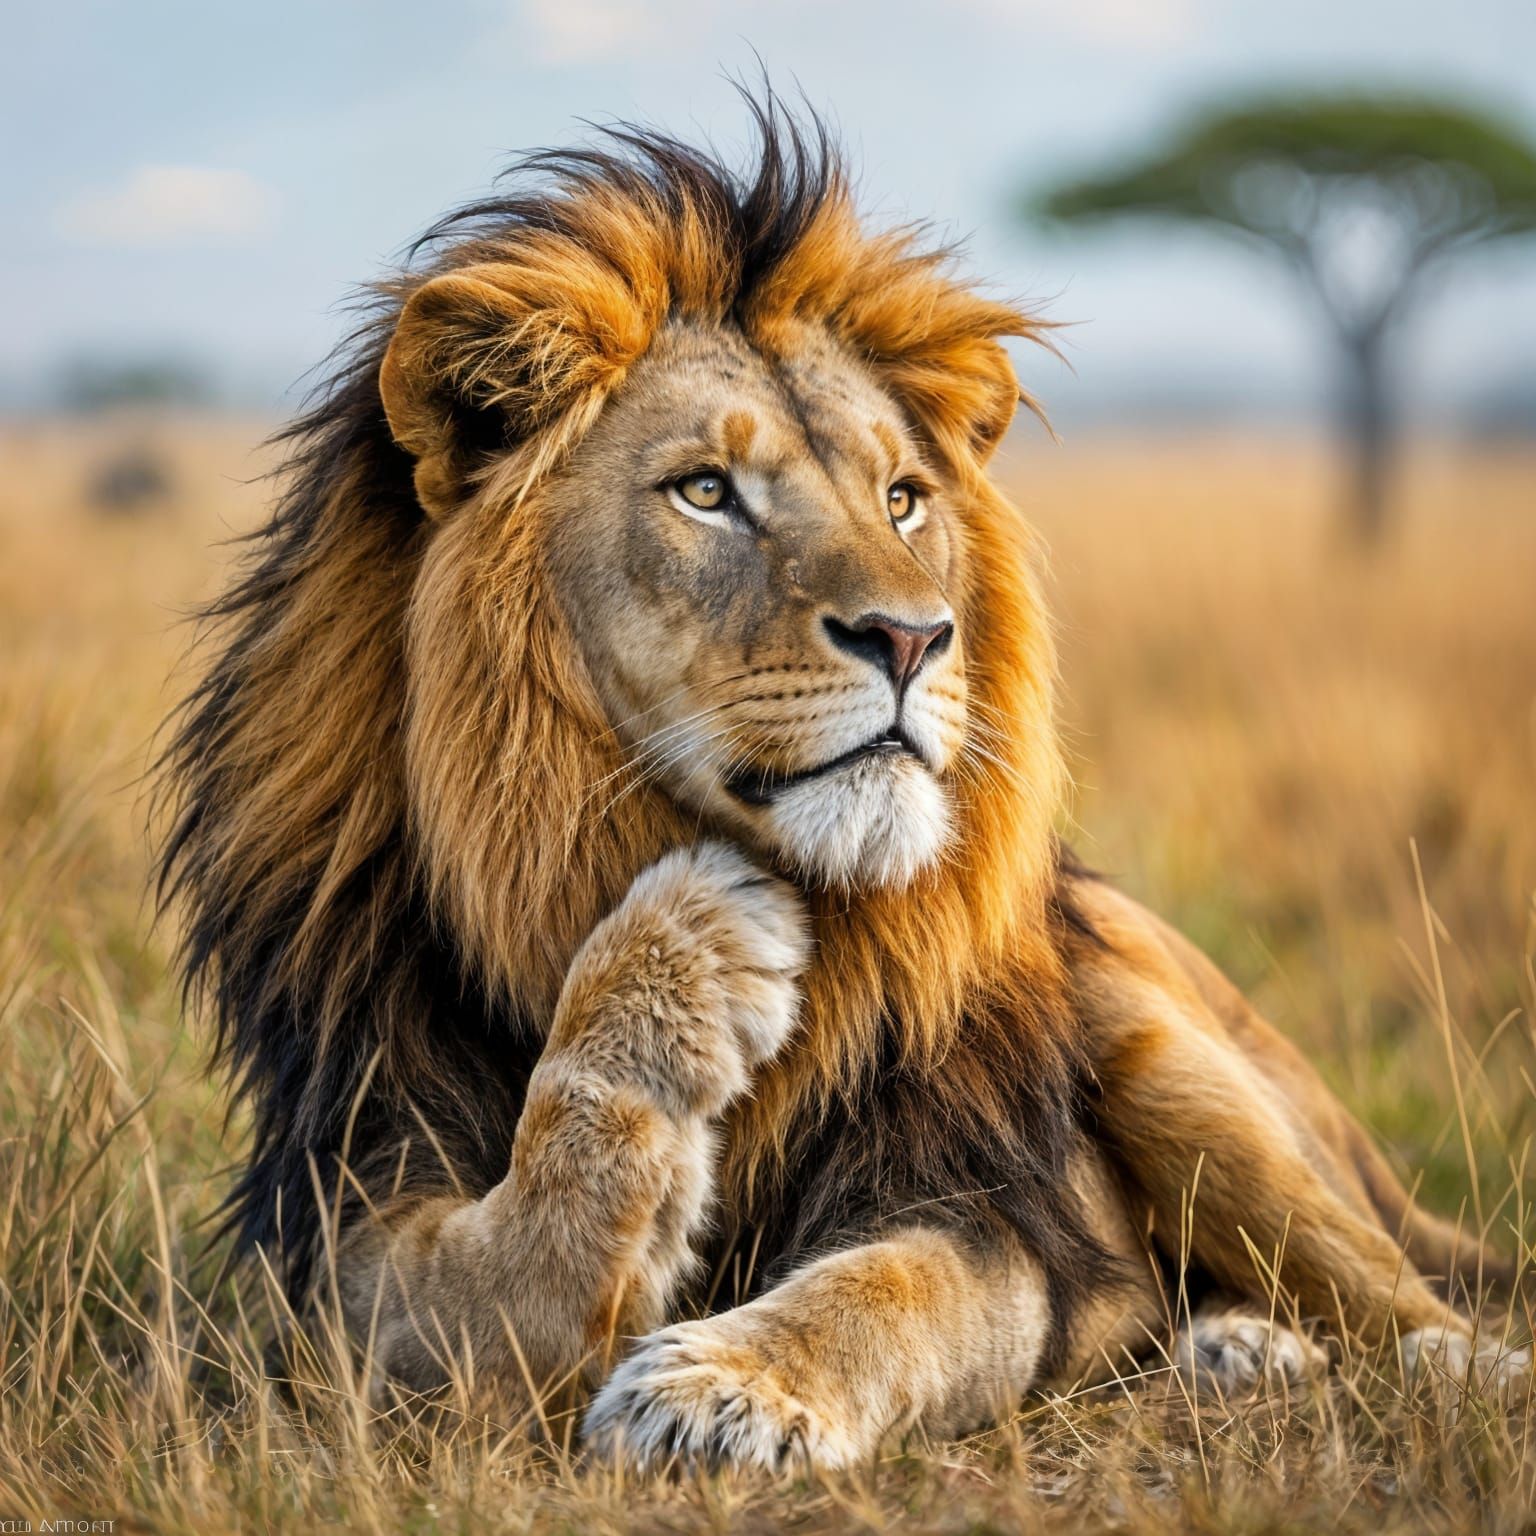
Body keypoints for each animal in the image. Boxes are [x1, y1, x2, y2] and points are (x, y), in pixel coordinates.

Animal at [157, 97, 1524, 1471]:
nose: (915, 639)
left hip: (1179, 1058)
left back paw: (1404, 1362)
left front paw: (722, 1390)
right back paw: (1239, 1348)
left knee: (1406, 1293)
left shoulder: (989, 1210)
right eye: (706, 491)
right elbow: (496, 1273)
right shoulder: (350, 1214)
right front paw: (691, 952)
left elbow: (880, 1294)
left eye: (903, 499)